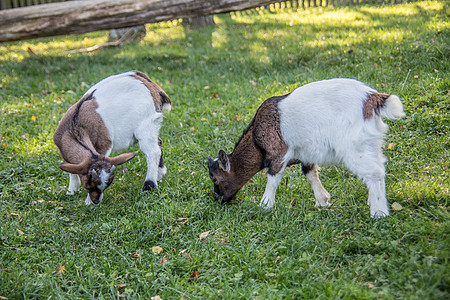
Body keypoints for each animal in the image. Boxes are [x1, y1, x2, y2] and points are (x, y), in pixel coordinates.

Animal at [54, 71, 171, 205]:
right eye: (88, 185)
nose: (96, 201)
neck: (75, 128)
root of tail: (150, 84)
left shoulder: (103, 145)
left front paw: (87, 202)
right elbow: (72, 171)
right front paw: (71, 191)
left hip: (146, 123)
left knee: (153, 152)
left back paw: (148, 186)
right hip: (152, 124)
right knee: (158, 143)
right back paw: (160, 174)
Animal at [209, 77, 406, 218]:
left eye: (215, 179)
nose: (217, 199)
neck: (257, 139)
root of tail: (371, 98)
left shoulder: (279, 153)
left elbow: (273, 178)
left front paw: (265, 206)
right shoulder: (306, 154)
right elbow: (310, 173)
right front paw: (323, 202)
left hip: (353, 146)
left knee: (374, 172)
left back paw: (379, 213)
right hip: (369, 142)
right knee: (379, 167)